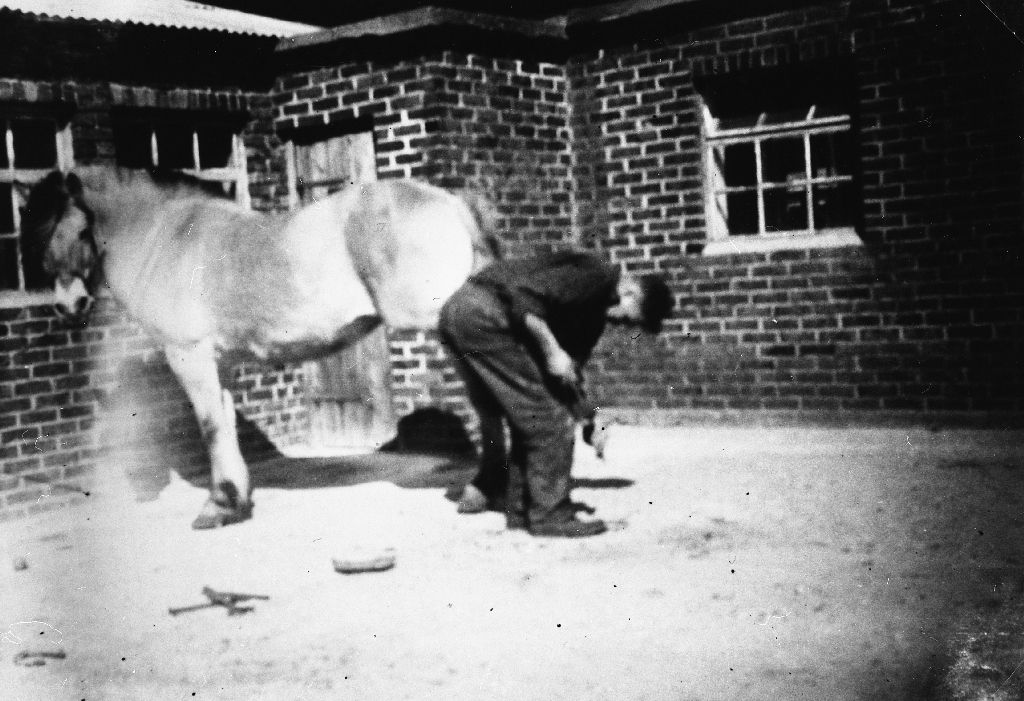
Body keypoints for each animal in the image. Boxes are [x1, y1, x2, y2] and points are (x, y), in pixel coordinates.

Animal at [22, 165, 501, 523]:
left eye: (71, 230)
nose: (68, 305)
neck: (163, 238)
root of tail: (452, 204)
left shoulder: (188, 355)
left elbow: (210, 428)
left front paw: (217, 505)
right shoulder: (220, 364)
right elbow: (226, 424)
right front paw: (236, 500)